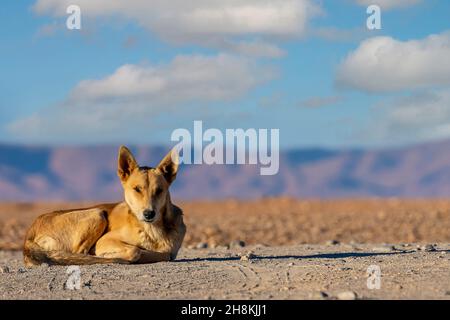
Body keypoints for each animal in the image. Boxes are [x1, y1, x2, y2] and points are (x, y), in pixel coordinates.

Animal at [22, 146, 185, 266]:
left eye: (159, 190)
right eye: (137, 189)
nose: (149, 214)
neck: (152, 231)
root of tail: (29, 233)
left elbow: (165, 254)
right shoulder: (105, 240)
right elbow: (136, 251)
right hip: (97, 213)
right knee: (80, 253)